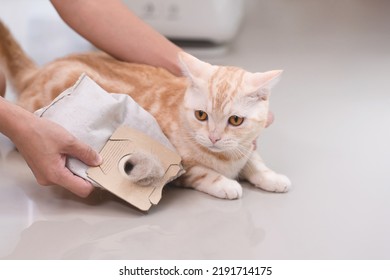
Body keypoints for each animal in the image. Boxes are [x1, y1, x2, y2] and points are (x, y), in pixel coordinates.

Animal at [0, 20, 290, 199]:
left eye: (236, 120)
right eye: (201, 115)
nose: (214, 137)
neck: (225, 158)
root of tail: (39, 71)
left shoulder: (246, 147)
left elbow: (255, 161)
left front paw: (272, 177)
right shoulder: (179, 165)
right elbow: (204, 173)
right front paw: (228, 184)